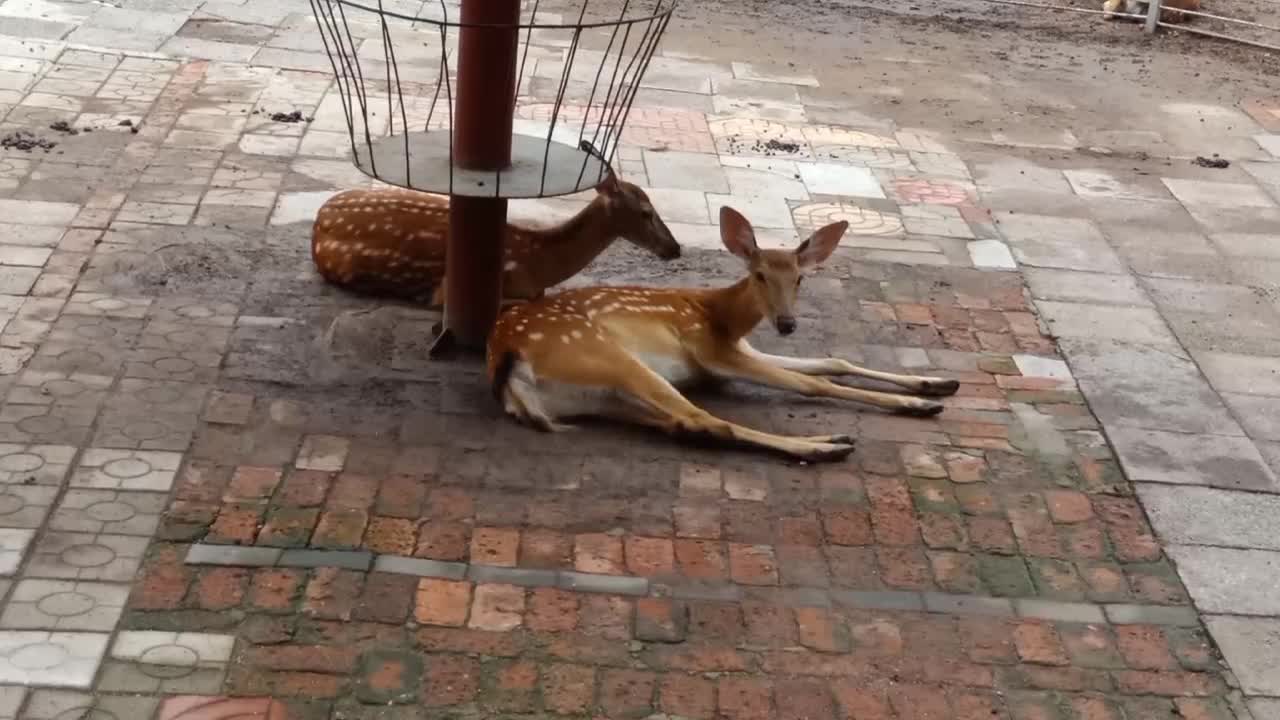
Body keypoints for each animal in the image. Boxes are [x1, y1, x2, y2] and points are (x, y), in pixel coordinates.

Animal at [486, 204, 962, 458]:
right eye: (759, 275)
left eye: (800, 279)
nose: (787, 323)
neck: (721, 316)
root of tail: (508, 367)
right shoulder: (712, 352)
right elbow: (812, 384)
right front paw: (917, 403)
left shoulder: (743, 349)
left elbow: (832, 360)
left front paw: (937, 383)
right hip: (610, 359)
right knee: (703, 418)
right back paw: (827, 446)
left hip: (602, 398)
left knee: (688, 425)